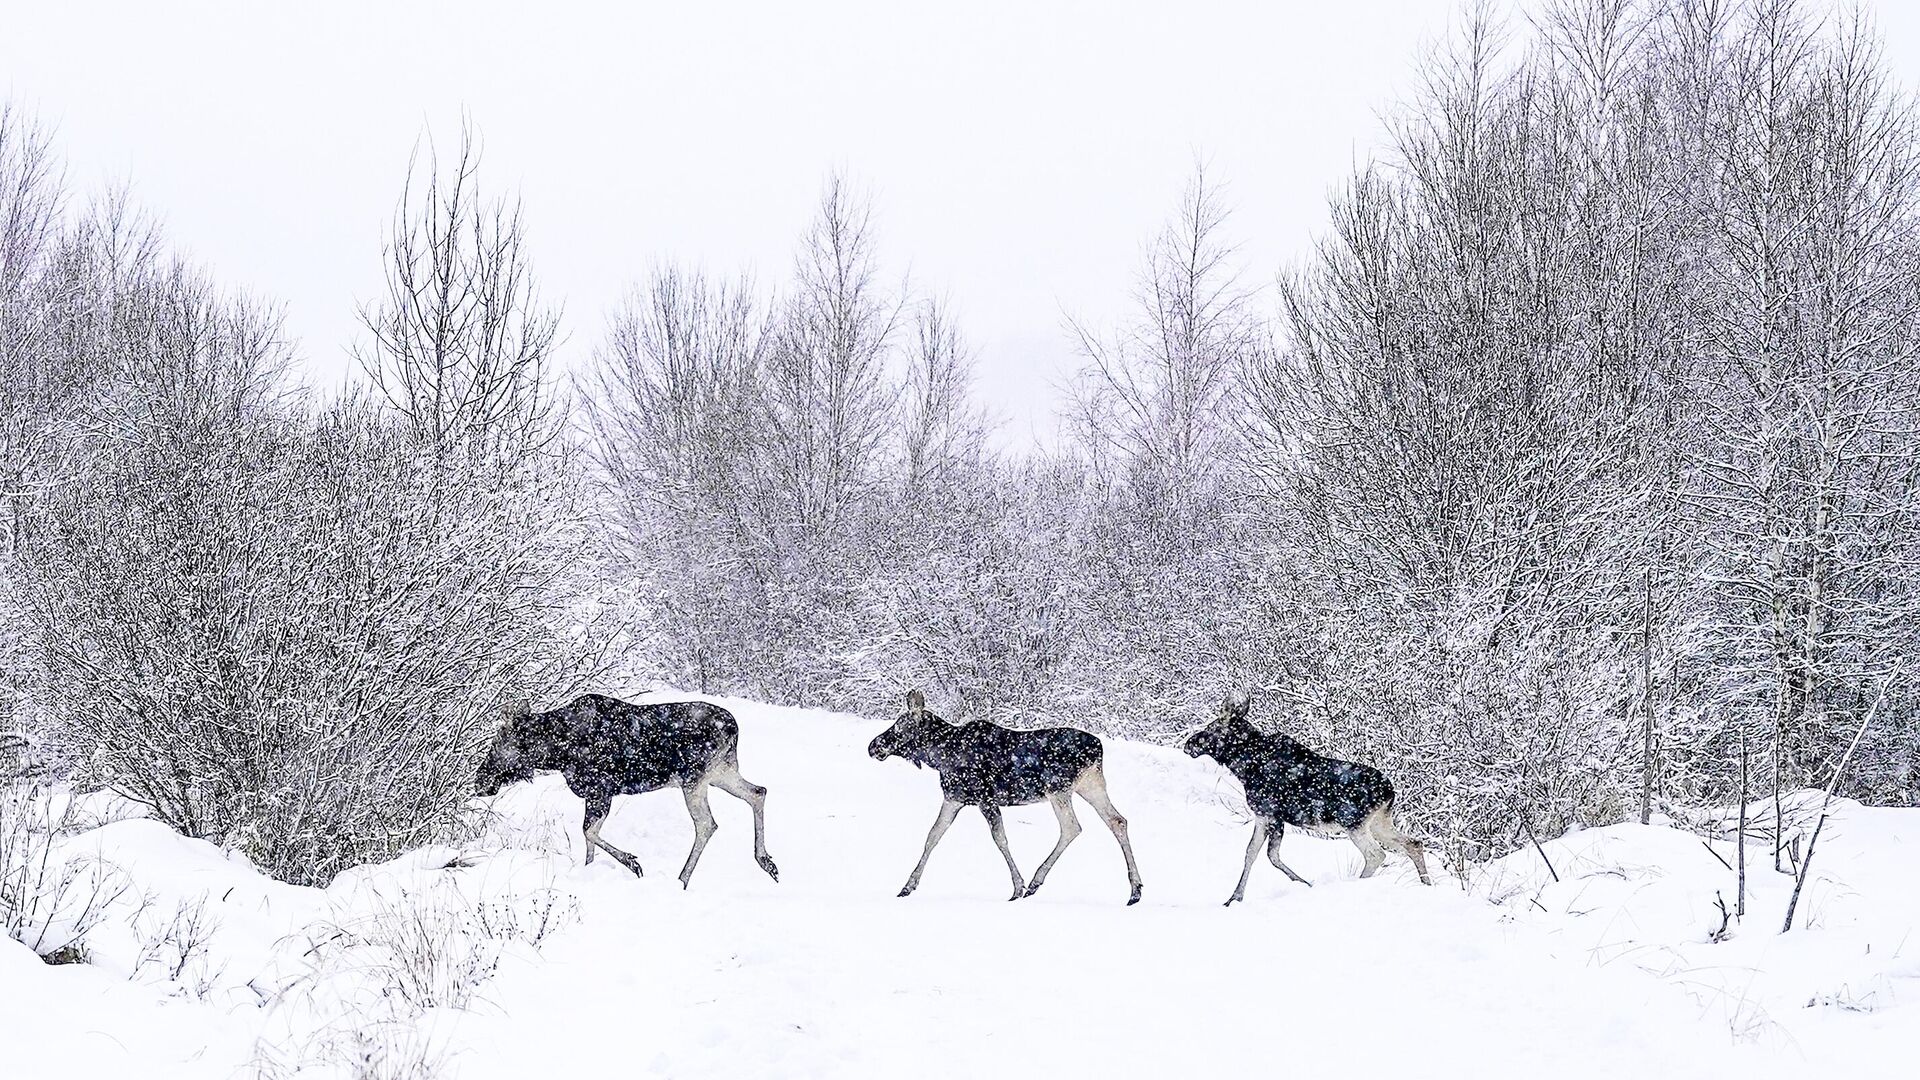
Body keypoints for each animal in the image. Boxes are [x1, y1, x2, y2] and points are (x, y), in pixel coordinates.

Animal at [474, 691, 779, 887]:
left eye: (498, 744)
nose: (480, 781)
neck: (557, 754)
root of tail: (732, 728)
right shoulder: (595, 794)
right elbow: (588, 840)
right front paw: (590, 872)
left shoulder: (601, 789)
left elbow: (588, 832)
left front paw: (633, 863)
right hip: (720, 771)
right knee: (758, 792)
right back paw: (766, 862)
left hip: (694, 778)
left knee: (707, 823)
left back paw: (681, 879)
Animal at [867, 687, 1136, 899]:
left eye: (899, 726)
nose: (873, 746)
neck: (940, 755)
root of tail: (1098, 748)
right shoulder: (954, 798)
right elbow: (933, 836)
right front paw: (907, 886)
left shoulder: (985, 798)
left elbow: (1000, 839)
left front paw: (1018, 887)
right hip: (1090, 785)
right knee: (1117, 820)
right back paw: (1135, 890)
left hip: (1058, 789)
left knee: (1072, 827)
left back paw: (1035, 882)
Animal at [1175, 687, 1436, 899]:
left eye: (1212, 728)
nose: (1189, 744)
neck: (1245, 767)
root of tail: (1389, 791)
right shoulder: (1265, 816)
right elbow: (1253, 852)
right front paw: (1233, 898)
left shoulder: (1270, 814)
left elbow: (1269, 855)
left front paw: (1303, 884)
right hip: (1380, 822)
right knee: (1413, 843)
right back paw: (1427, 884)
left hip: (1354, 823)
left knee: (1376, 854)